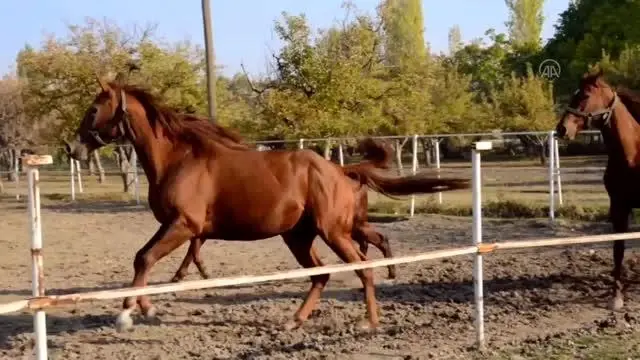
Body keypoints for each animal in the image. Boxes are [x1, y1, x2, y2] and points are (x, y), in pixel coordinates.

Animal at [170, 136, 400, 282]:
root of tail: (343, 172)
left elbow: (193, 249)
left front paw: (187, 274)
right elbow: (193, 249)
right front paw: (190, 274)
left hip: (346, 225)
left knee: (376, 240)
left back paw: (389, 271)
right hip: (351, 225)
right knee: (373, 241)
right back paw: (387, 271)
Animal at [556, 67, 640, 312]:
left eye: (584, 95)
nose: (562, 128)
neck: (631, 155)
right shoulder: (619, 207)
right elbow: (618, 250)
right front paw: (616, 296)